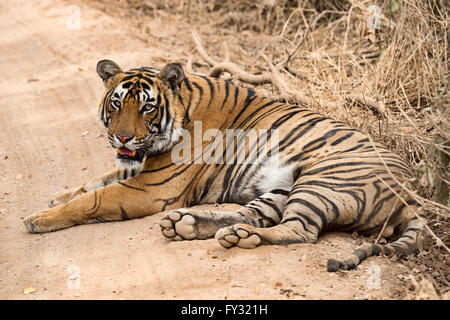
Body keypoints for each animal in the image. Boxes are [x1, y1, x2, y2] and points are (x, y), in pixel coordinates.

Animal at [22, 59, 424, 270]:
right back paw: (191, 226)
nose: (122, 138)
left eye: (147, 107)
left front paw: (38, 219)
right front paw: (55, 198)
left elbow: (94, 198)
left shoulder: (153, 188)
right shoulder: (138, 169)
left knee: (299, 230)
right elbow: (93, 182)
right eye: (117, 103)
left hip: (322, 182)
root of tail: (415, 194)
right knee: (250, 216)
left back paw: (237, 238)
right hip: (282, 188)